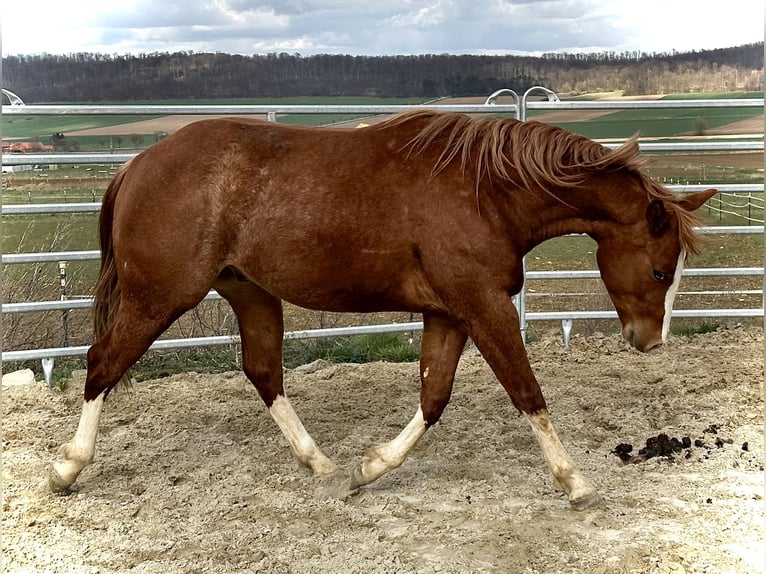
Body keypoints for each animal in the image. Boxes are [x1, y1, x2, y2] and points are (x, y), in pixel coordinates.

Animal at [49, 110, 715, 509]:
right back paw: (66, 469)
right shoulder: (484, 306)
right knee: (101, 364)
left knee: (263, 372)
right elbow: (528, 392)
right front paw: (576, 483)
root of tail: (137, 164)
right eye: (660, 270)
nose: (650, 340)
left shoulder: (450, 312)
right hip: (157, 298)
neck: (488, 192)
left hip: (250, 292)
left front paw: (368, 469)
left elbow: (434, 396)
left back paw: (319, 462)